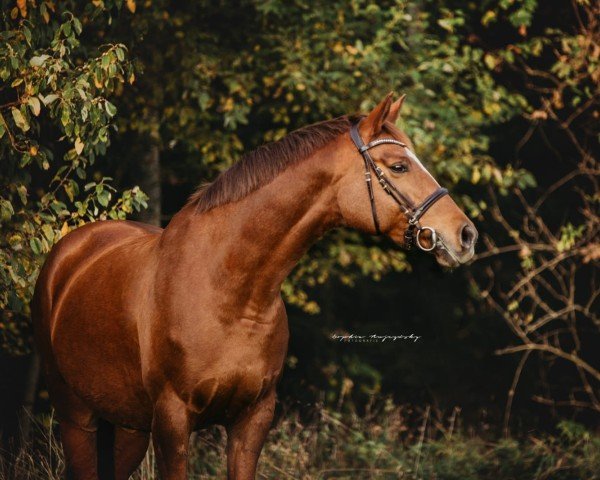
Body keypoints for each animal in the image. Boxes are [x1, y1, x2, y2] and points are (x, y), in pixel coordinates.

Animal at [35, 94, 478, 480]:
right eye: (399, 166)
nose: (465, 235)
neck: (230, 291)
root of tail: (70, 251)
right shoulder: (172, 422)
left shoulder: (253, 420)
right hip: (76, 415)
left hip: (127, 425)